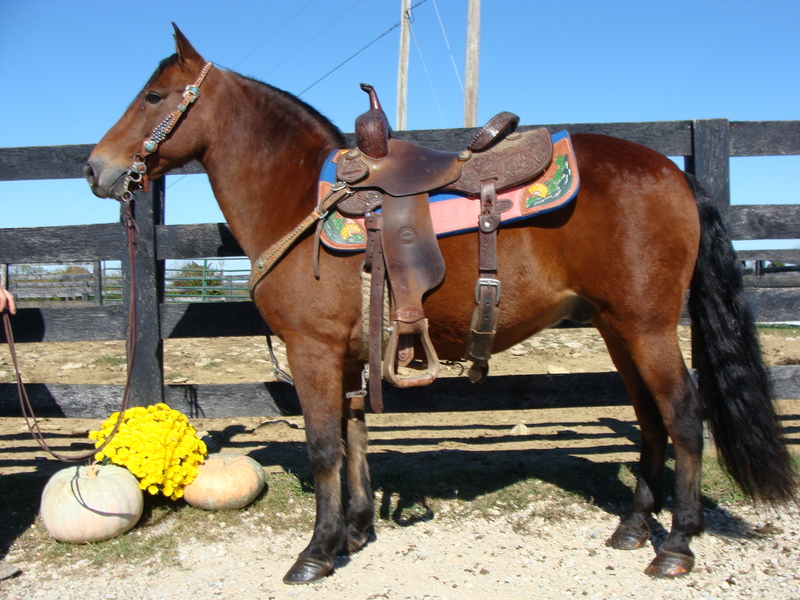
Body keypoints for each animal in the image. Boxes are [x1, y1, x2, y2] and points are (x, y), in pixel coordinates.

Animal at [84, 25, 795, 584]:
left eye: (153, 96)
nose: (94, 169)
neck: (298, 198)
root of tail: (676, 173)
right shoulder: (349, 356)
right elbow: (354, 436)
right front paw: (354, 533)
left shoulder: (312, 351)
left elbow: (322, 447)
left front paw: (315, 553)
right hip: (618, 329)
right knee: (649, 418)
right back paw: (632, 527)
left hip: (647, 327)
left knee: (683, 415)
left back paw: (676, 544)